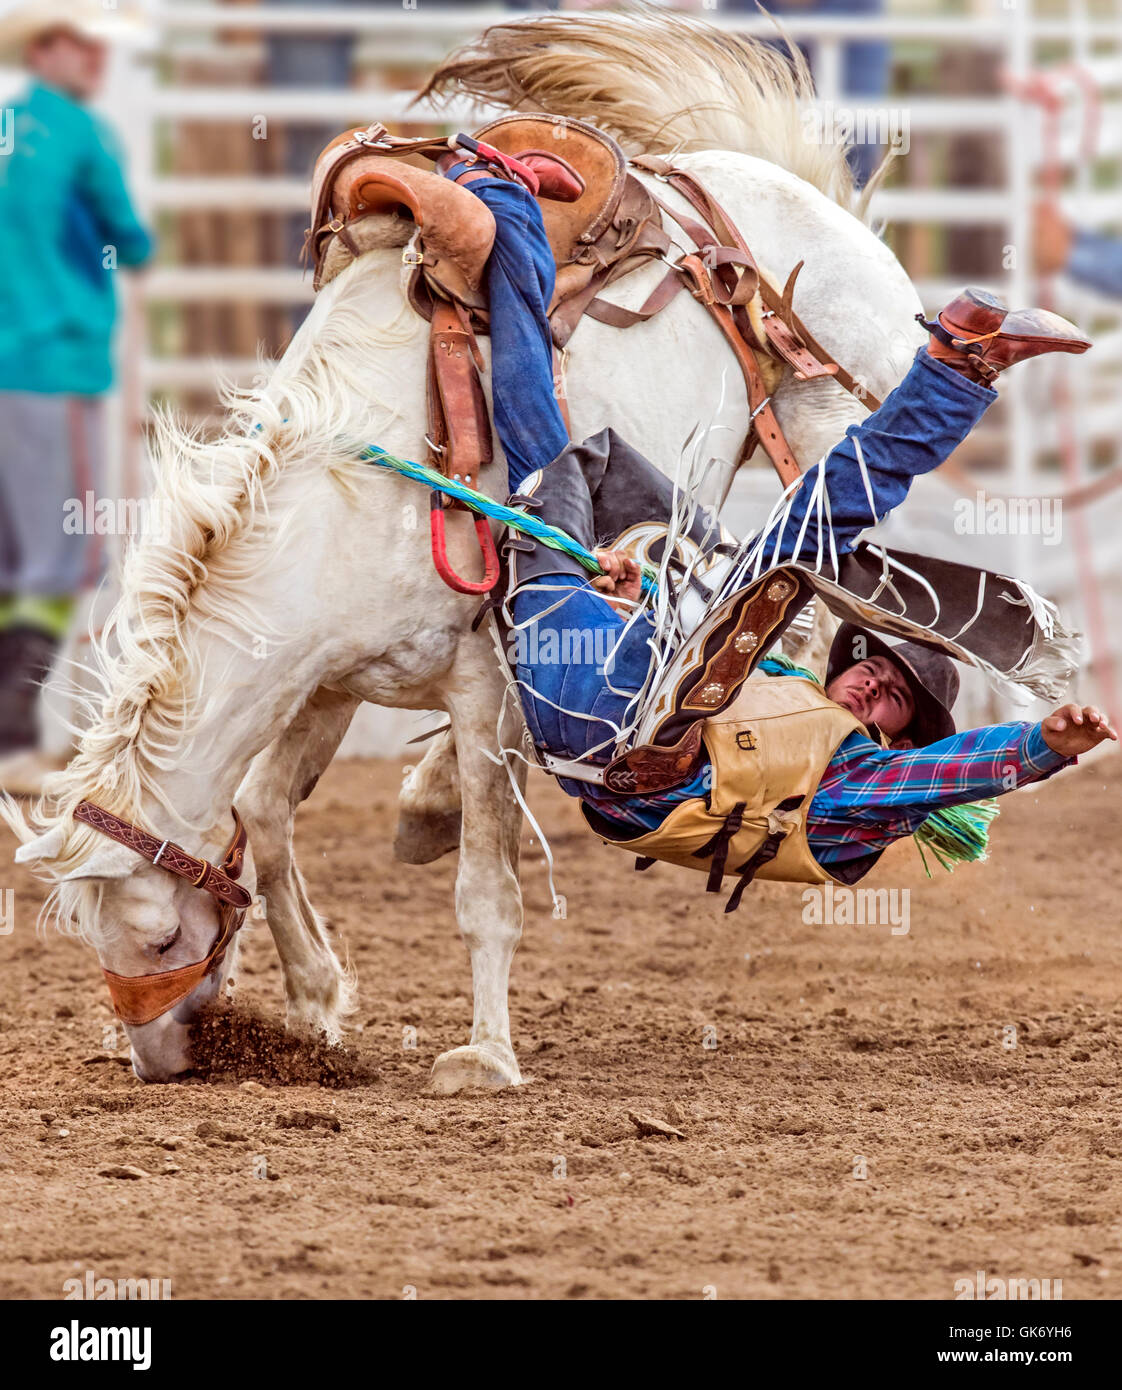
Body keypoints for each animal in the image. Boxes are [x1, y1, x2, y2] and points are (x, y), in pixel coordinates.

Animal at [4, 12, 927, 1087]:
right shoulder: (325, 678)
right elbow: (266, 818)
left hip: (827, 432)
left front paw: (484, 1054)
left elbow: (486, 890)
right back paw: (427, 801)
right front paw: (316, 1000)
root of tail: (763, 182)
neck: (353, 500)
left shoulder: (485, 681)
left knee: (822, 572)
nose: (157, 1059)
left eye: (154, 937)